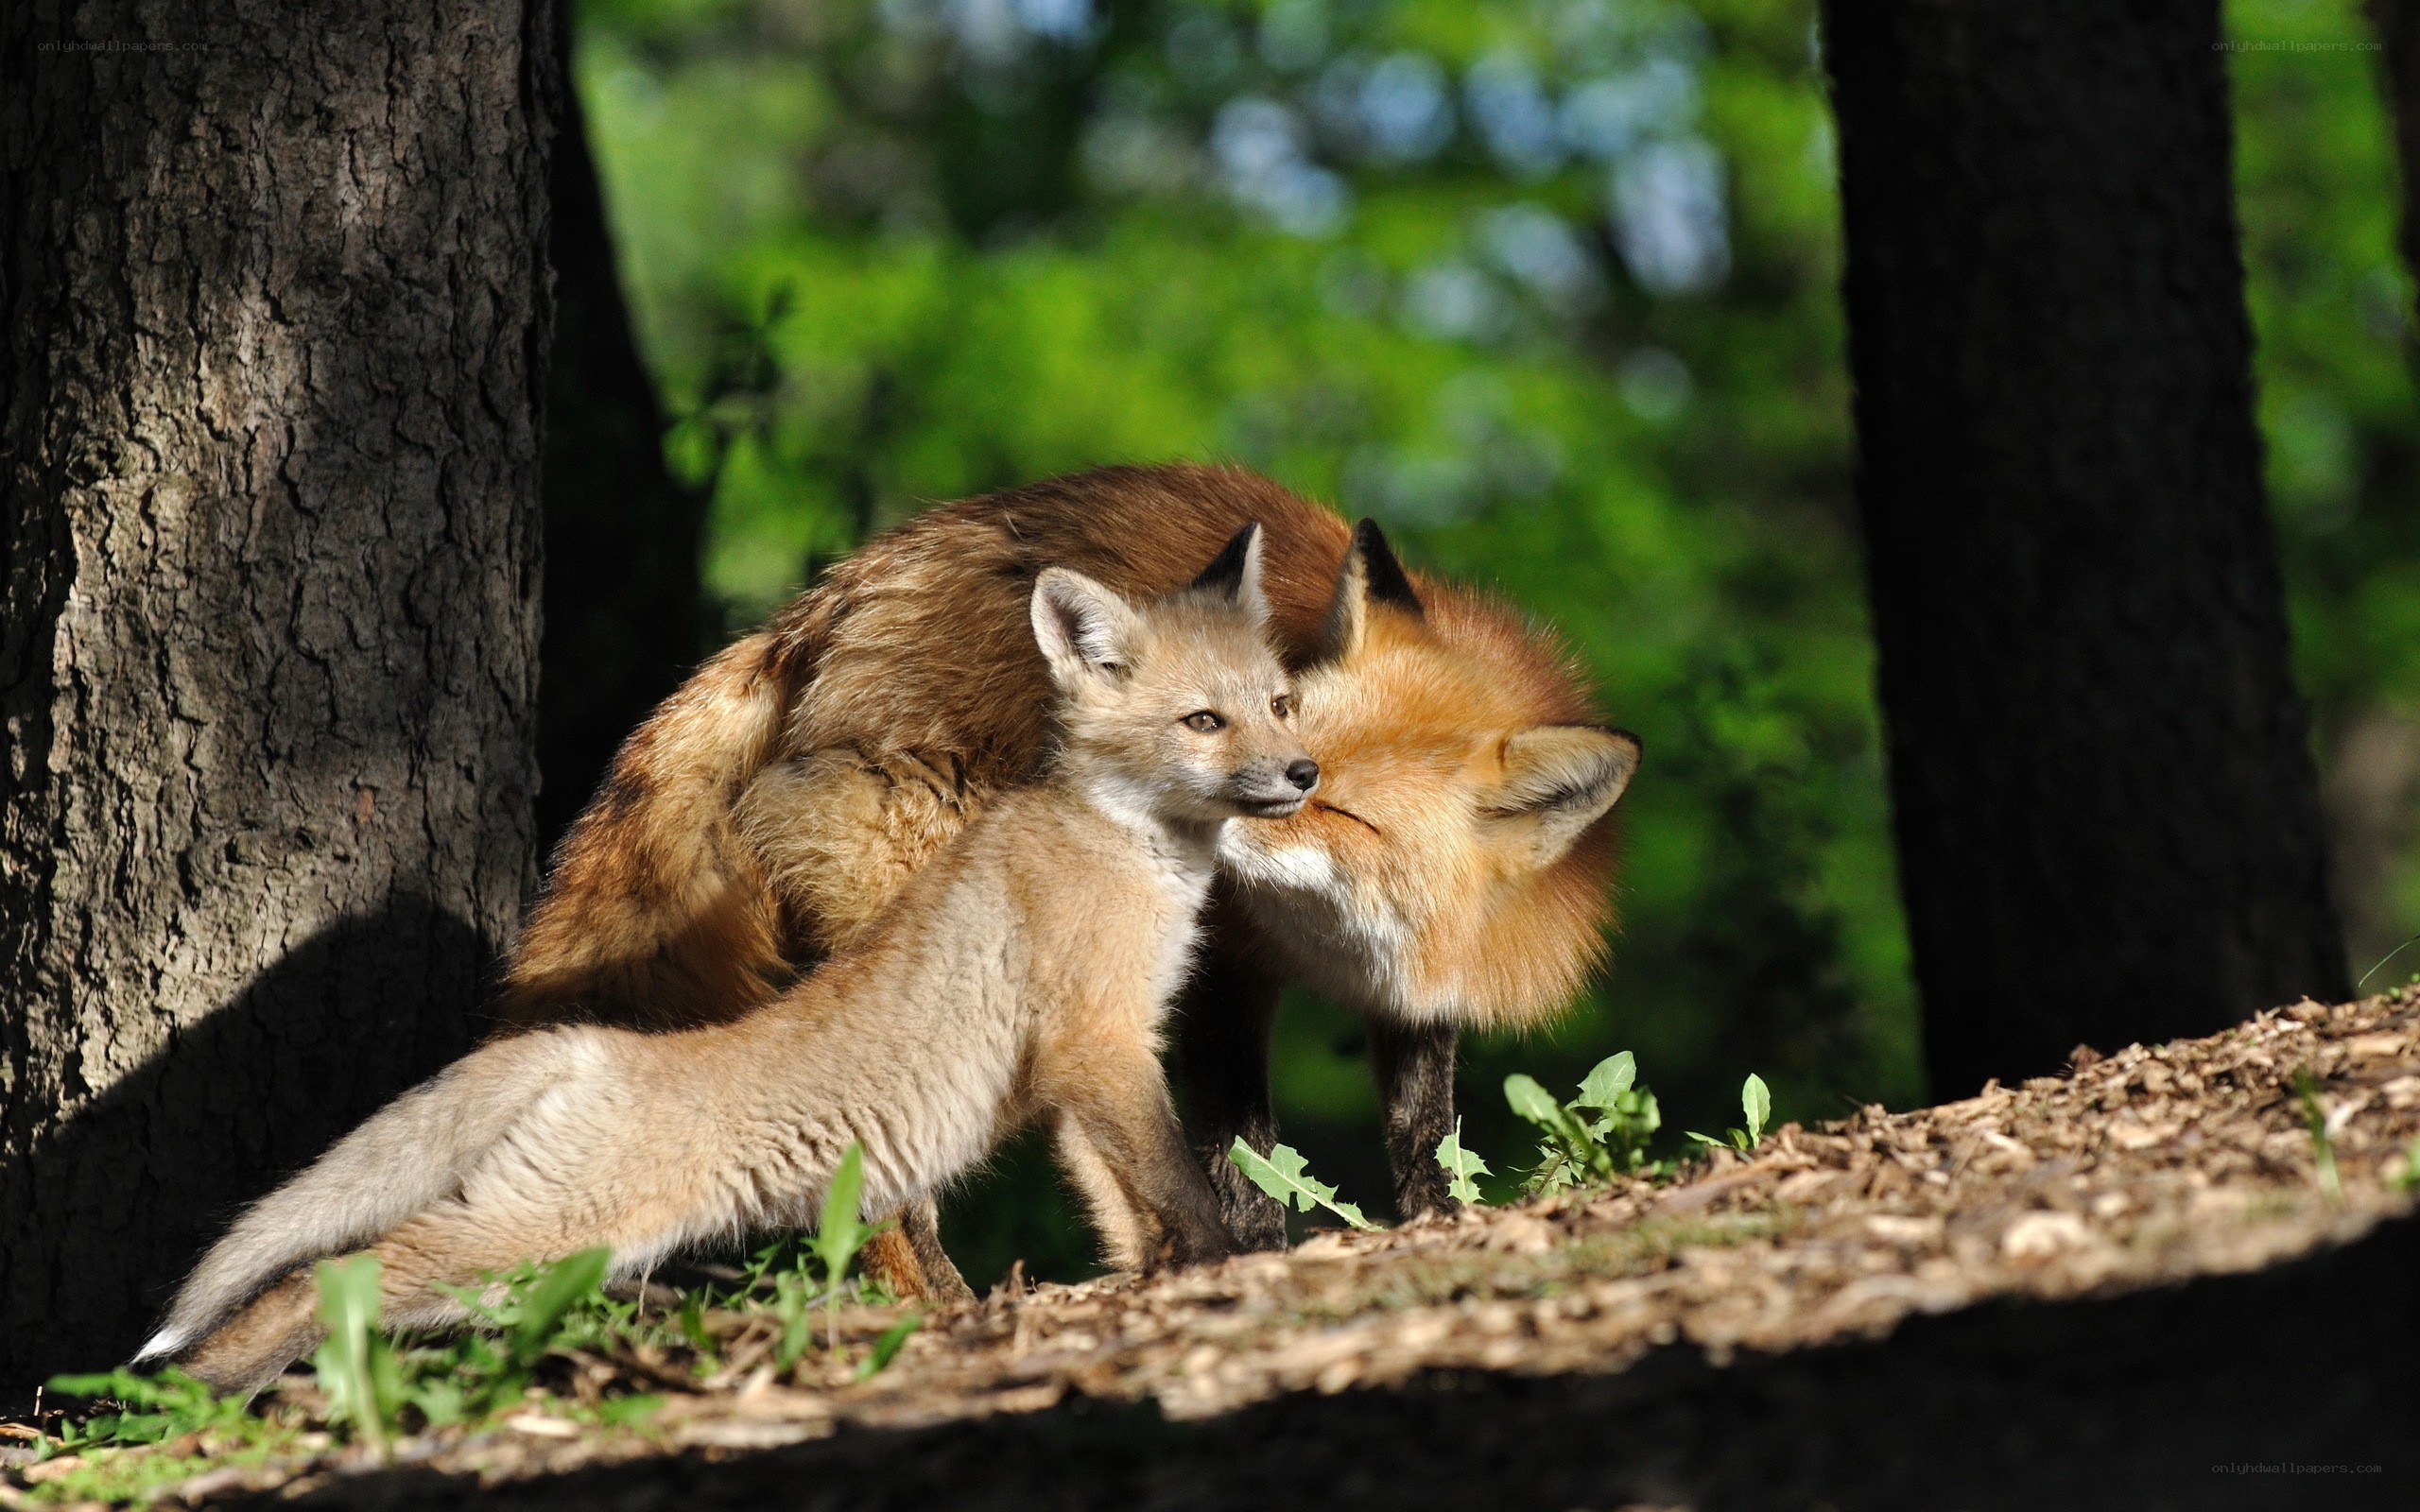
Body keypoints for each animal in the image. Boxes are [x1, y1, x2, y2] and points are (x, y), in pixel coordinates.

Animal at [139, 529, 1309, 1393]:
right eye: (1202, 720)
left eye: (1280, 702)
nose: (1302, 772)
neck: (1123, 847)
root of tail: (588, 1046)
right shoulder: (1096, 1038)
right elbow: (1179, 1184)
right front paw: (1229, 1267)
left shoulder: (1076, 1069)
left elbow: (1122, 1203)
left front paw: (1141, 1284)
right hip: (543, 1230)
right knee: (319, 1278)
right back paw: (188, 1397)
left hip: (550, 1256)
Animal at [496, 464, 1636, 1297]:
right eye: (1284, 738)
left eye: (1343, 807)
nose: (1223, 816)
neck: (1342, 945)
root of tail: (820, 605)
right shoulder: (1223, 968)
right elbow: (1245, 1153)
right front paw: (1259, 1253)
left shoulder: (1415, 995)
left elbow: (1421, 1130)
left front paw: (1441, 1222)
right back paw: (945, 1311)